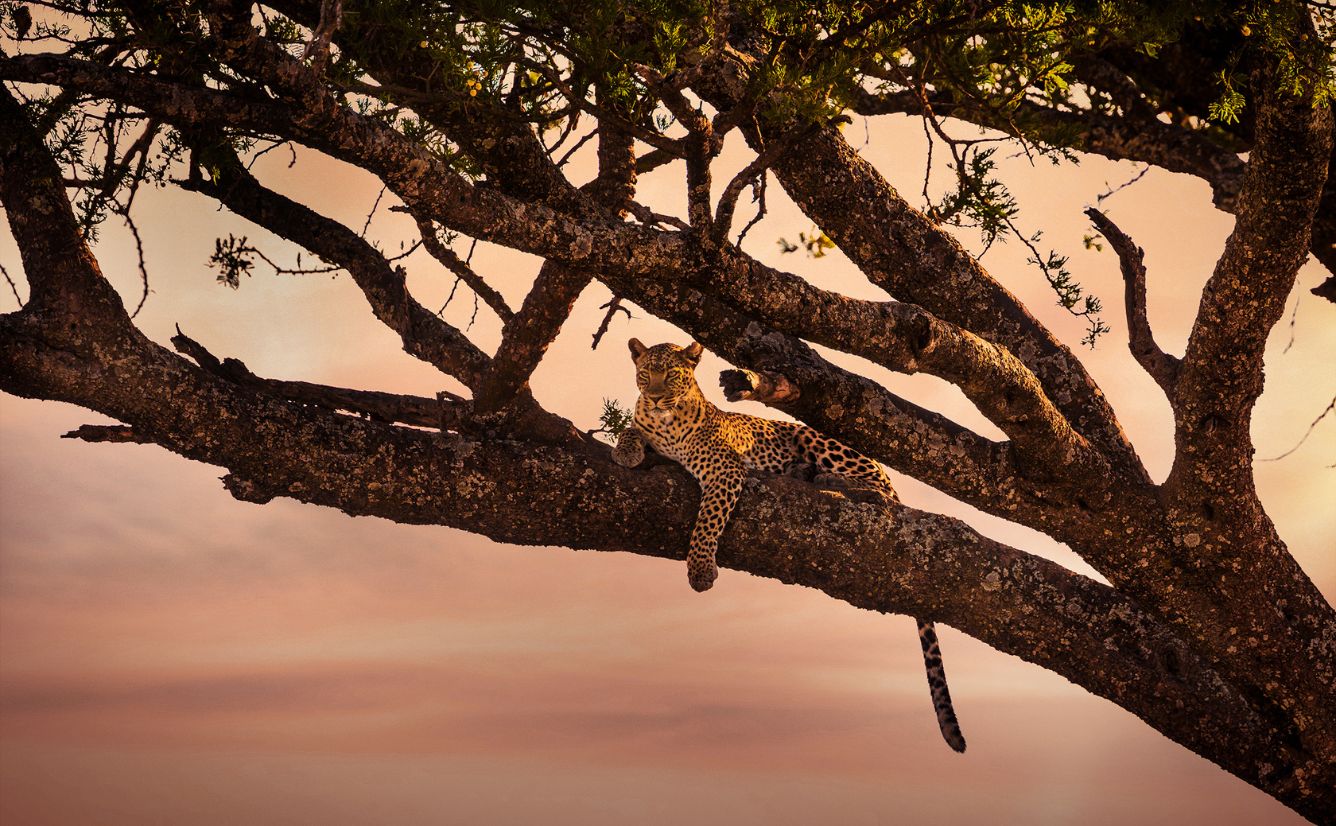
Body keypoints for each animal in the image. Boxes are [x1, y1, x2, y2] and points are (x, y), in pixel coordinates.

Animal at [612, 339, 966, 752]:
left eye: (670, 374)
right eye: (645, 374)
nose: (654, 396)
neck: (665, 424)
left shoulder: (725, 469)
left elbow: (708, 519)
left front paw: (700, 569)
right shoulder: (649, 428)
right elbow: (631, 430)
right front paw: (626, 449)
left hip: (817, 439)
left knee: (879, 492)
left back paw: (826, 477)